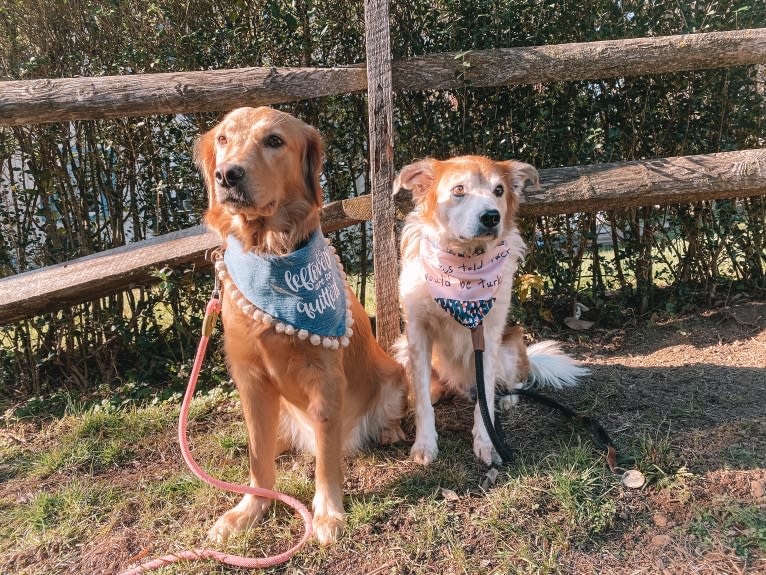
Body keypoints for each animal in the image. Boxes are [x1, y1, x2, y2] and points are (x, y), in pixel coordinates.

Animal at [392, 156, 592, 468]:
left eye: (499, 190)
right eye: (459, 189)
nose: (491, 217)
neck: (463, 266)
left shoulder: (488, 334)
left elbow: (484, 397)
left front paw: (486, 443)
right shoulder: (416, 331)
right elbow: (423, 399)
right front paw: (425, 443)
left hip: (509, 349)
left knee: (511, 382)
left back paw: (507, 397)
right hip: (403, 348)